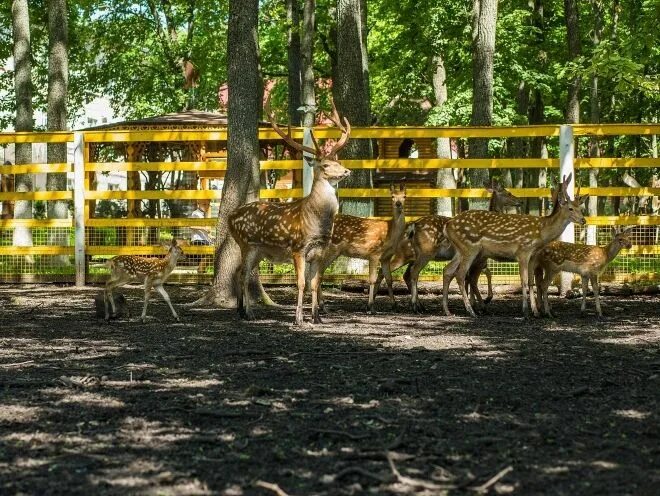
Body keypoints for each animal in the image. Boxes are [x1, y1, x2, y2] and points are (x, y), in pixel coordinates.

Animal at [228, 94, 350, 326]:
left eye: (338, 161)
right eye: (325, 165)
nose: (347, 171)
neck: (317, 222)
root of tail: (230, 216)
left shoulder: (320, 250)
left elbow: (314, 283)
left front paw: (317, 317)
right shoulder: (297, 247)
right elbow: (301, 283)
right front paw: (298, 319)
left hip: (259, 250)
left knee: (239, 272)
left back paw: (240, 310)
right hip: (247, 243)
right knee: (244, 274)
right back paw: (249, 312)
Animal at [318, 182, 408, 314]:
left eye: (404, 196)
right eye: (392, 196)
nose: (398, 204)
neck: (390, 233)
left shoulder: (386, 257)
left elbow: (389, 279)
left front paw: (394, 305)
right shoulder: (374, 253)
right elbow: (372, 279)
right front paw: (371, 306)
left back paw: (321, 306)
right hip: (332, 249)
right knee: (318, 272)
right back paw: (323, 306)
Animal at [440, 174, 584, 318]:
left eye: (580, 208)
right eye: (570, 208)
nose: (583, 219)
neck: (541, 233)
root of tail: (447, 225)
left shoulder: (533, 256)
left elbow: (531, 281)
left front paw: (536, 311)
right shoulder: (523, 251)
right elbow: (524, 281)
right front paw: (526, 311)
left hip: (461, 250)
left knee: (448, 270)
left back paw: (448, 311)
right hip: (470, 248)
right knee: (461, 275)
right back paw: (471, 310)